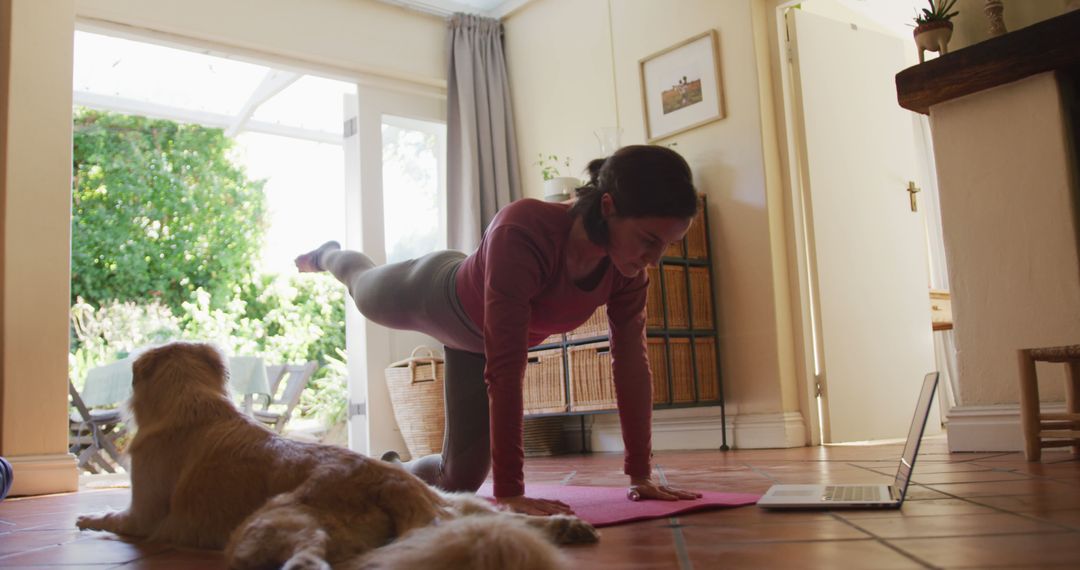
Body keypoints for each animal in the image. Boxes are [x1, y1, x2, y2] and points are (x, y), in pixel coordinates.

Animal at [76, 343, 600, 570]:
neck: (194, 402)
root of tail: (389, 481)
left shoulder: (142, 515)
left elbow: (111, 515)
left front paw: (86, 517)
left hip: (266, 524)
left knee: (313, 557)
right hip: (453, 501)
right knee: (505, 517)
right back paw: (564, 526)